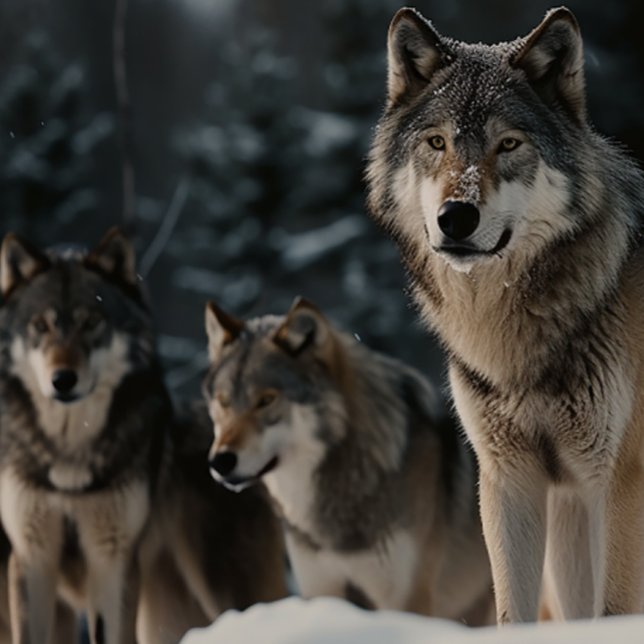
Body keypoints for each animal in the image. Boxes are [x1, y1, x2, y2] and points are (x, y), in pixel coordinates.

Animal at [0, 229, 172, 643]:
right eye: (41, 326)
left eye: (91, 321)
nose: (63, 379)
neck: (69, 451)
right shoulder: (30, 556)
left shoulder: (113, 559)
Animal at [366, 5, 644, 623]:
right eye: (437, 142)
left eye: (509, 143)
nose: (455, 217)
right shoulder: (509, 480)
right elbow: (510, 613)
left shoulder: (617, 479)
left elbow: (615, 609)